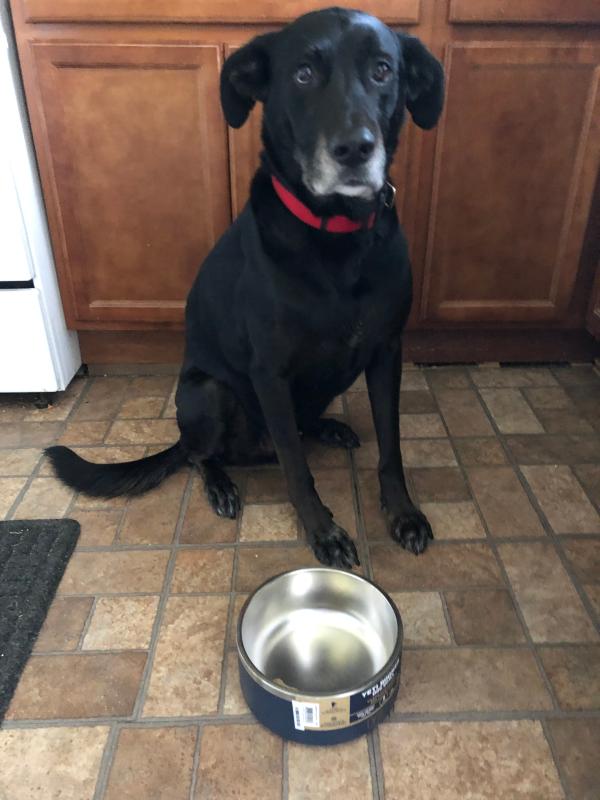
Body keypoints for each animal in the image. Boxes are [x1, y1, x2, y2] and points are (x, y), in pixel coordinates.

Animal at [47, 6, 442, 568]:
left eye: (383, 70)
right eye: (303, 74)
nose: (354, 149)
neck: (337, 239)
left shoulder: (388, 351)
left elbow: (393, 447)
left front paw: (403, 512)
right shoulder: (270, 373)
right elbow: (297, 468)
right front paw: (323, 531)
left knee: (296, 429)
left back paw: (329, 428)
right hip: (208, 394)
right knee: (201, 454)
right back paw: (221, 484)